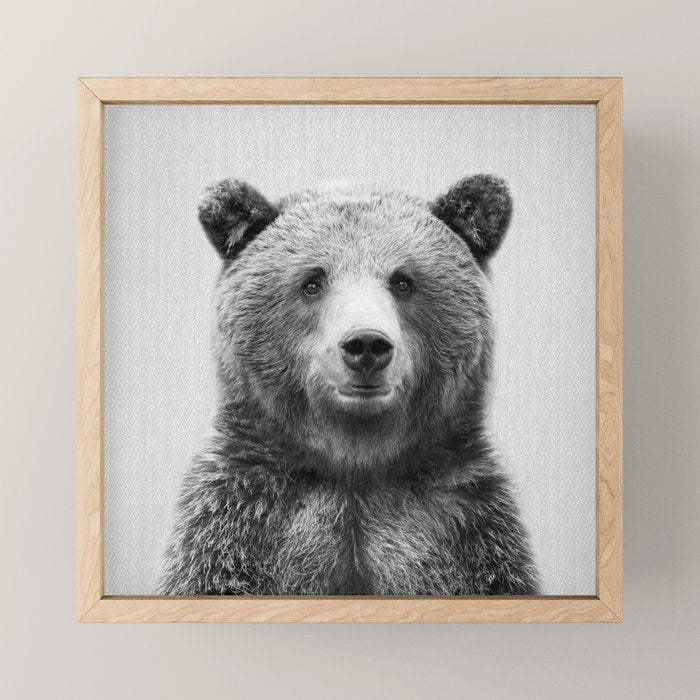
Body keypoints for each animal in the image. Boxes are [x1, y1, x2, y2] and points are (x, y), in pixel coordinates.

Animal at [159, 175, 539, 596]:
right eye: (312, 282)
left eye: (403, 281)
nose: (366, 344)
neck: (355, 465)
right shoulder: (238, 524)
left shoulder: (468, 530)